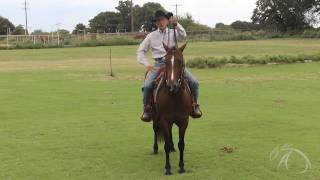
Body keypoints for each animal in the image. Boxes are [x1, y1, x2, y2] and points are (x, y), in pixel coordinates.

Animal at [151, 41, 191, 174]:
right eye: (166, 61)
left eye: (180, 61)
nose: (172, 85)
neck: (174, 97)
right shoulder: (164, 120)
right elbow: (166, 145)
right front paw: (168, 168)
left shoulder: (184, 121)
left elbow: (181, 144)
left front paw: (182, 166)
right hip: (154, 115)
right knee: (155, 129)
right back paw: (155, 148)